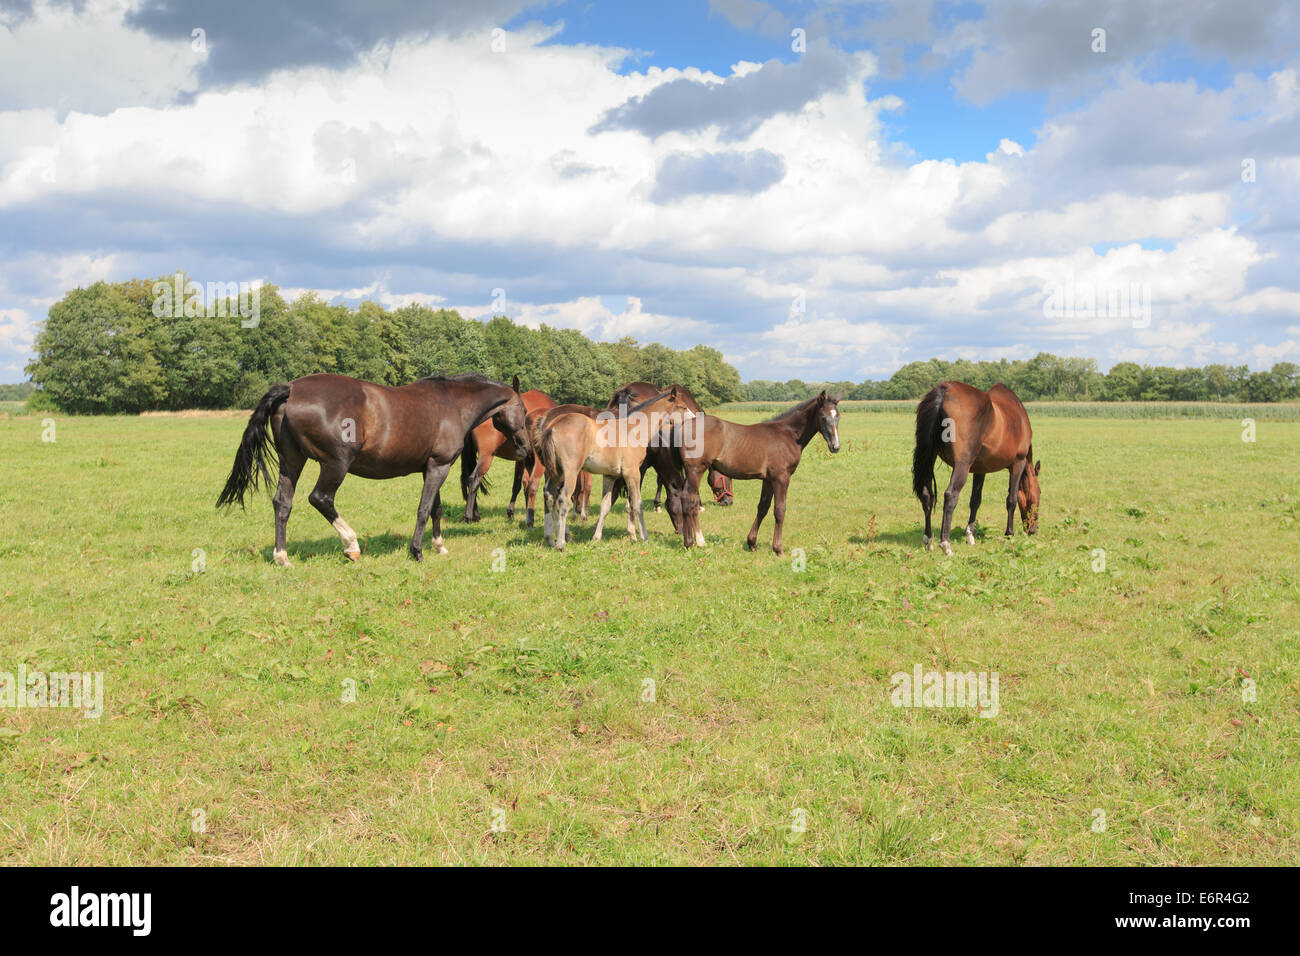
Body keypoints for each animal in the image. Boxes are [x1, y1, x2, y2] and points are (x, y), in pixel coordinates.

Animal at [215, 371, 530, 567]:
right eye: (524, 411)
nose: (525, 447)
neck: (453, 403)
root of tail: (291, 389)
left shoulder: (430, 467)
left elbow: (436, 508)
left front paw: (439, 546)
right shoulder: (439, 466)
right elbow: (424, 509)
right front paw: (417, 552)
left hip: (292, 461)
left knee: (283, 503)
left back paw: (282, 557)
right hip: (335, 465)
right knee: (321, 499)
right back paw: (351, 544)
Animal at [460, 374, 556, 522]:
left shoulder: (524, 459)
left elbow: (522, 484)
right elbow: (520, 484)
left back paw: (475, 513)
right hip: (486, 456)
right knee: (474, 479)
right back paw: (469, 516)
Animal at [535, 390, 691, 548]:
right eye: (683, 407)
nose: (694, 419)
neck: (633, 430)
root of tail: (551, 426)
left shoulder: (610, 476)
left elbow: (606, 505)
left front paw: (596, 537)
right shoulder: (633, 473)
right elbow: (636, 504)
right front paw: (642, 537)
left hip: (556, 472)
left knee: (549, 495)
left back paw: (552, 539)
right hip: (570, 472)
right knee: (563, 499)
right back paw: (561, 542)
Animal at [676, 390, 837, 554]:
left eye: (838, 417)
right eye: (823, 417)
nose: (835, 446)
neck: (788, 435)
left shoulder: (768, 479)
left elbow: (763, 507)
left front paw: (752, 543)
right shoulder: (781, 478)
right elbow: (780, 510)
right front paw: (778, 549)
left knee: (684, 497)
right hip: (696, 470)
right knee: (690, 500)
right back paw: (695, 542)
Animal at [915, 379, 1045, 556]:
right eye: (1039, 492)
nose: (1033, 529)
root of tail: (945, 391)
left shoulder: (979, 469)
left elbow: (975, 500)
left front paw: (970, 535)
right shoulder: (1018, 463)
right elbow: (1012, 499)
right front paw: (1009, 534)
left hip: (930, 458)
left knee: (927, 495)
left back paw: (929, 541)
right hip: (962, 465)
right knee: (950, 495)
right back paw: (946, 544)